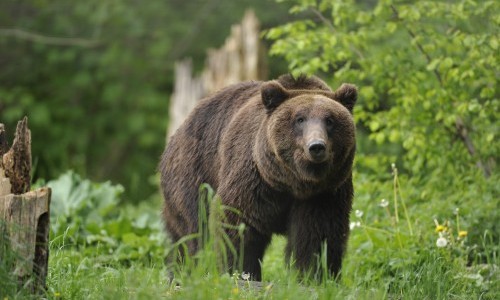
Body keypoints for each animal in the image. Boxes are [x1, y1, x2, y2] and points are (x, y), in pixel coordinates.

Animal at [158, 74, 358, 280]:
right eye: (300, 119)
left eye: (330, 120)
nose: (316, 146)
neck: (294, 183)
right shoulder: (255, 179)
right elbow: (238, 223)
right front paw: (242, 271)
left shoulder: (324, 192)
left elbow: (317, 234)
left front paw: (315, 275)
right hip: (195, 174)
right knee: (193, 232)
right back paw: (183, 271)